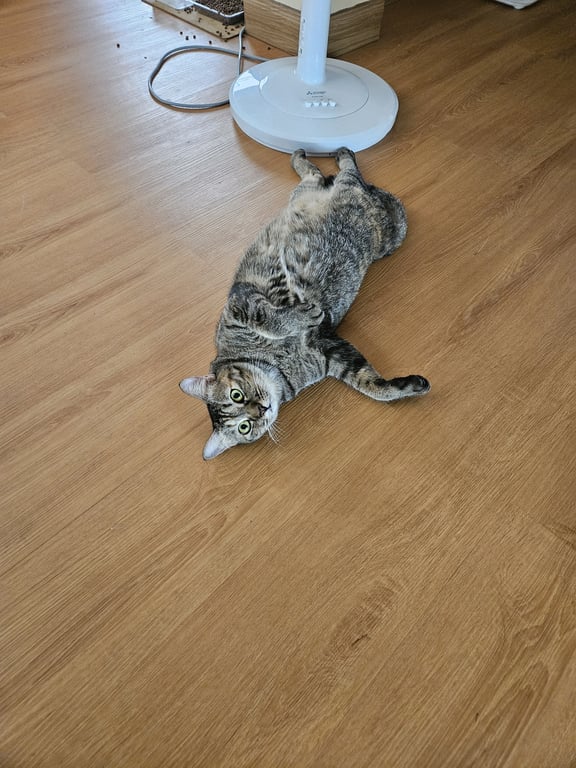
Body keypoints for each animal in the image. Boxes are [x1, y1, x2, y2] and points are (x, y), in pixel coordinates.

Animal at [180, 148, 430, 460]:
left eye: (236, 395)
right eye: (244, 427)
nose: (261, 410)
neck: (277, 364)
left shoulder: (241, 302)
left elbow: (268, 315)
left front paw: (301, 314)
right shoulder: (331, 353)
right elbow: (371, 384)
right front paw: (406, 388)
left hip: (383, 224)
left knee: (345, 173)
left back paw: (329, 154)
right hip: (378, 221)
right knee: (322, 176)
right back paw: (313, 157)